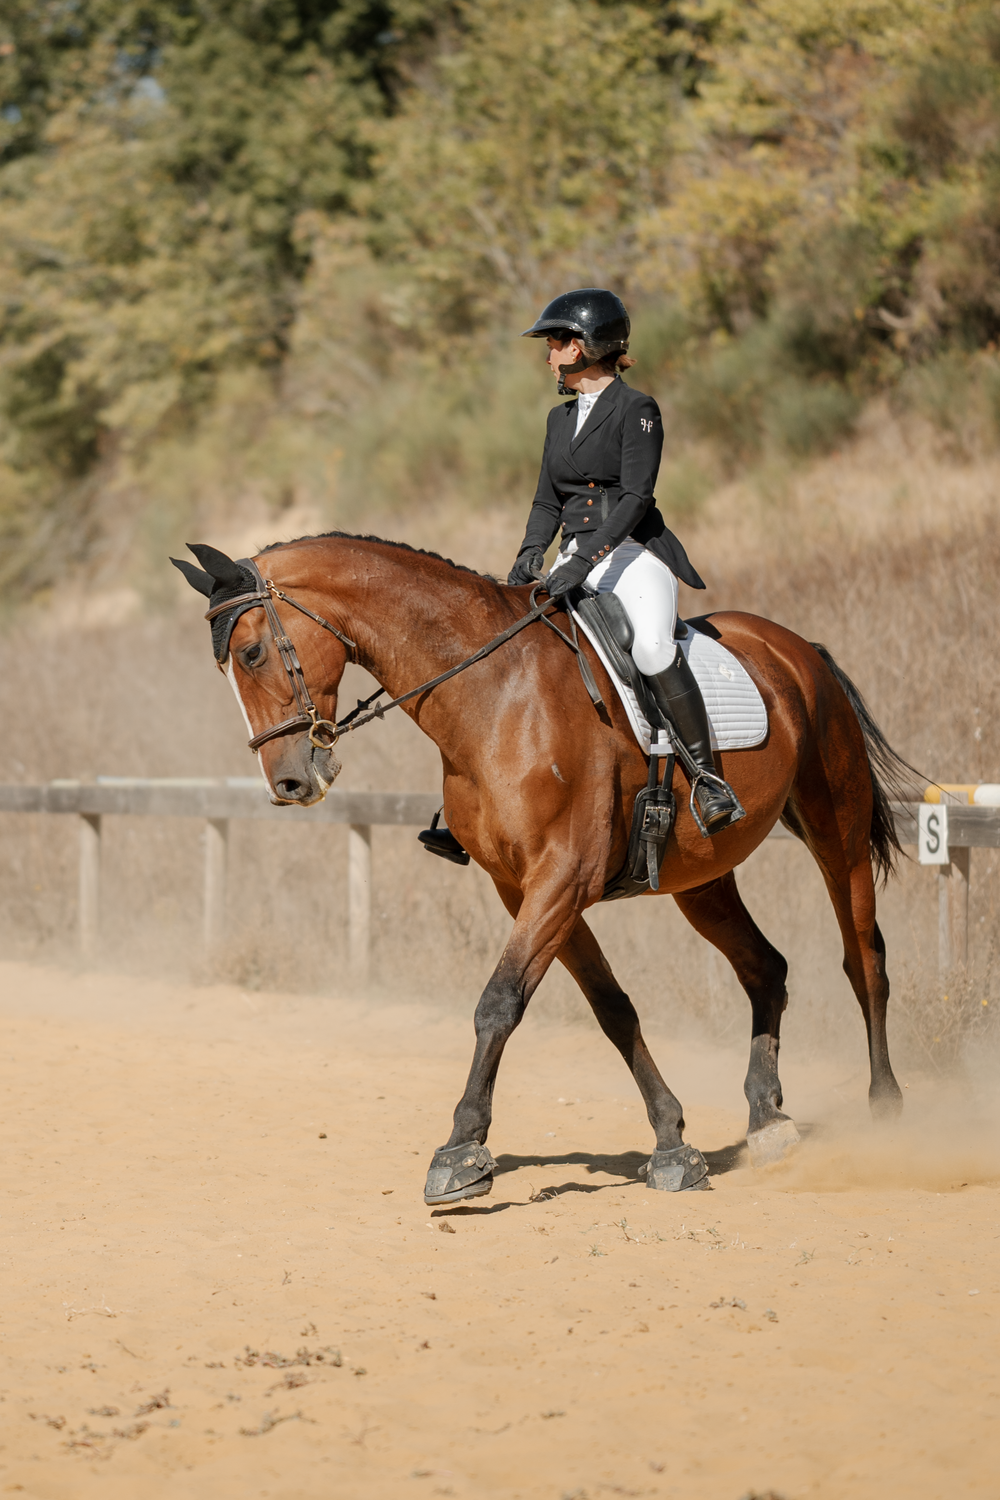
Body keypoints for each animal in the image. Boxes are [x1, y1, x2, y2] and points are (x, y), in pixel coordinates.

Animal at [174, 531, 912, 1201]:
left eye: (251, 651)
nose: (289, 783)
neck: (493, 694)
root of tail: (796, 647)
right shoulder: (525, 888)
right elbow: (612, 1009)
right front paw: (672, 1144)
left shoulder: (562, 878)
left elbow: (498, 1003)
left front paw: (461, 1152)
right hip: (703, 880)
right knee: (765, 968)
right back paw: (767, 1119)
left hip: (837, 831)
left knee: (864, 960)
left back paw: (885, 1111)